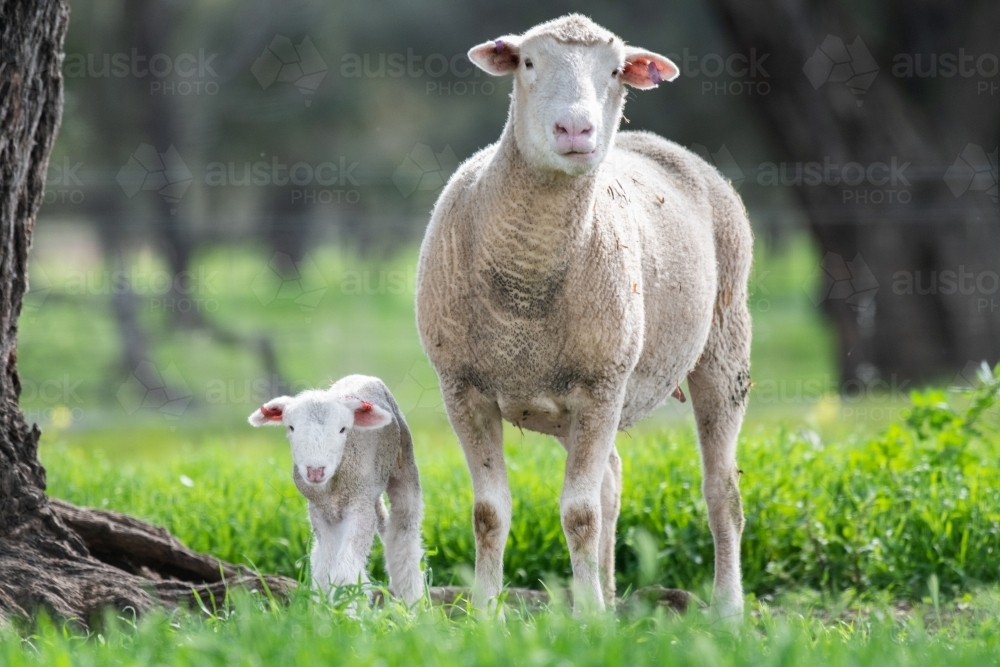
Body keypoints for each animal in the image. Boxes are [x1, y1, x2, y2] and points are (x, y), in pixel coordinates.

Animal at [248, 374, 424, 605]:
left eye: (343, 429)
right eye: (291, 427)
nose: (315, 471)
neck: (331, 487)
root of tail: (362, 376)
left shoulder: (359, 507)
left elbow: (344, 570)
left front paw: (346, 607)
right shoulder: (320, 511)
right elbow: (326, 566)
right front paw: (325, 604)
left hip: (403, 464)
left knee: (404, 532)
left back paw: (411, 599)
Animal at [414, 14, 752, 618]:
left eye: (615, 70)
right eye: (527, 62)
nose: (576, 129)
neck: (524, 286)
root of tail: (655, 142)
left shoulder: (601, 384)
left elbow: (578, 514)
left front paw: (590, 620)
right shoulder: (462, 387)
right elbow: (490, 513)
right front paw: (485, 612)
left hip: (723, 342)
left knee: (721, 490)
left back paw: (727, 611)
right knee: (611, 480)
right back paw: (613, 595)